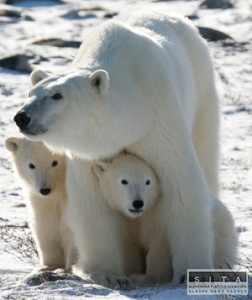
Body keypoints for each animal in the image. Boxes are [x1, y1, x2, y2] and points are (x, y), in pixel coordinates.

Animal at [4, 137, 76, 270]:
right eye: (31, 165)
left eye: (54, 162)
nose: (45, 190)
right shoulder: (41, 203)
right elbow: (46, 230)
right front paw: (49, 265)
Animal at [12, 11, 227, 284]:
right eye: (30, 93)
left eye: (57, 95)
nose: (22, 117)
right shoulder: (89, 152)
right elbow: (90, 199)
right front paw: (107, 274)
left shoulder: (160, 121)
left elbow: (182, 185)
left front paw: (190, 272)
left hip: (201, 90)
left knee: (205, 150)